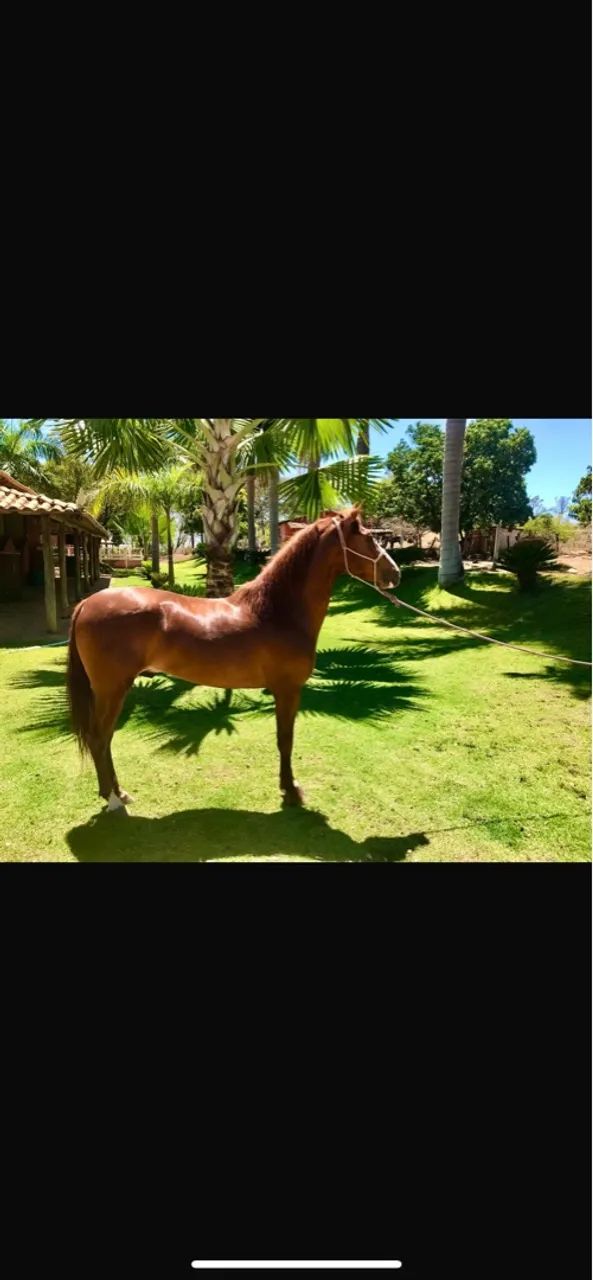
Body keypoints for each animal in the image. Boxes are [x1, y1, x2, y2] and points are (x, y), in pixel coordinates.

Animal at [67, 507, 401, 811]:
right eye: (368, 538)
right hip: (112, 689)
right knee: (99, 738)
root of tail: (87, 603)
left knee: (104, 739)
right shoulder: (287, 690)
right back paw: (113, 798)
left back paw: (117, 793)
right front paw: (291, 791)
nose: (395, 574)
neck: (277, 612)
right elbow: (285, 739)